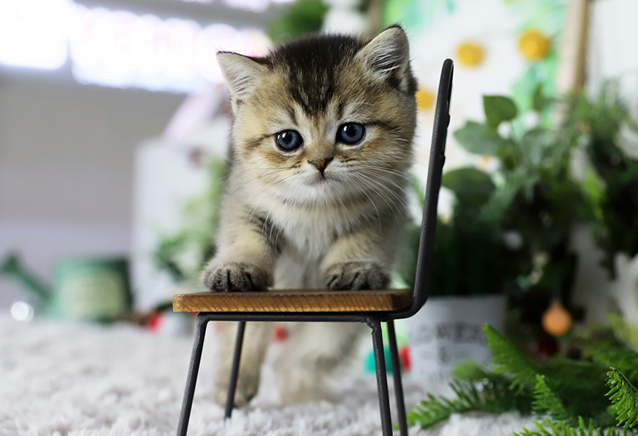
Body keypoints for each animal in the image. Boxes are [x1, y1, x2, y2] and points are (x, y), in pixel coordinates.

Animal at [202, 25, 417, 406]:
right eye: (287, 139)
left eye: (351, 132)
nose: (319, 162)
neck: (316, 207)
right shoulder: (243, 199)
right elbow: (245, 237)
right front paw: (236, 266)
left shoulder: (389, 205)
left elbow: (364, 236)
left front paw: (353, 267)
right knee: (247, 336)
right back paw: (233, 387)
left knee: (302, 354)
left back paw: (303, 398)